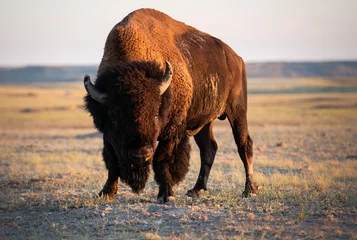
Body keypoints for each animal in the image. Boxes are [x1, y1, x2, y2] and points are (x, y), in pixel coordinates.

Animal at [83, 8, 256, 202]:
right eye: (115, 117)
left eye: (155, 112)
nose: (141, 154)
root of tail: (236, 58)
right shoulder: (109, 134)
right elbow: (112, 161)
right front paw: (106, 192)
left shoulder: (172, 131)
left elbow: (162, 159)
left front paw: (167, 194)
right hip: (204, 121)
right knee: (209, 149)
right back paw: (196, 189)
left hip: (237, 111)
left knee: (244, 145)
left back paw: (249, 190)